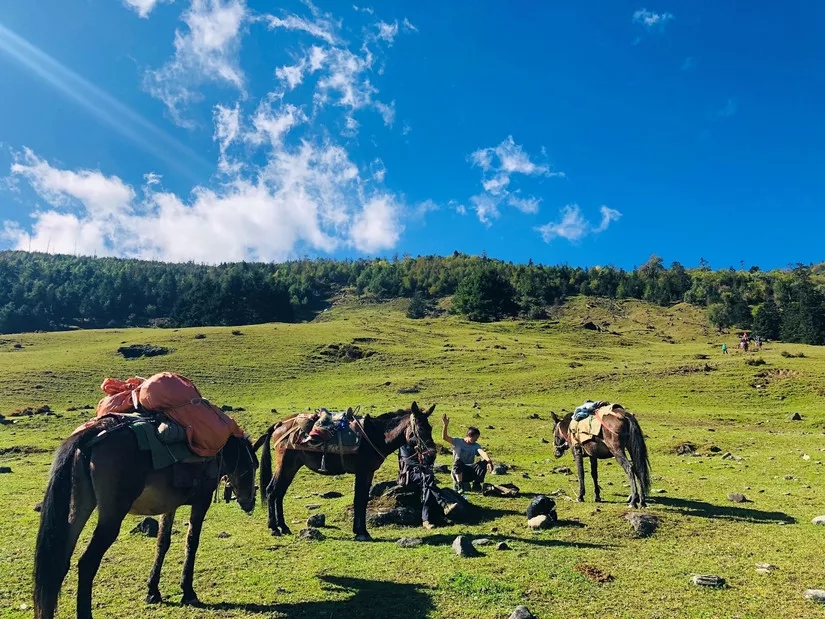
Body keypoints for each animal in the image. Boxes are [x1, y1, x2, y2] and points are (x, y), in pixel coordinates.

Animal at [33, 416, 258, 619]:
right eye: (251, 468)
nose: (250, 503)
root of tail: (92, 435)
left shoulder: (169, 506)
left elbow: (162, 543)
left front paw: (153, 591)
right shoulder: (202, 500)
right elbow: (191, 542)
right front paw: (188, 592)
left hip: (78, 509)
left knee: (57, 564)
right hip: (111, 518)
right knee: (87, 563)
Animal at [258, 404, 438, 540]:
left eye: (430, 427)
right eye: (420, 429)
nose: (431, 456)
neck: (377, 435)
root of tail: (280, 424)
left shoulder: (367, 473)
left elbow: (361, 500)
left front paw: (359, 531)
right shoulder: (363, 472)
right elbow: (360, 500)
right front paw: (362, 532)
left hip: (292, 467)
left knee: (279, 493)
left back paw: (284, 527)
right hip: (285, 465)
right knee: (272, 491)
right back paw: (274, 528)